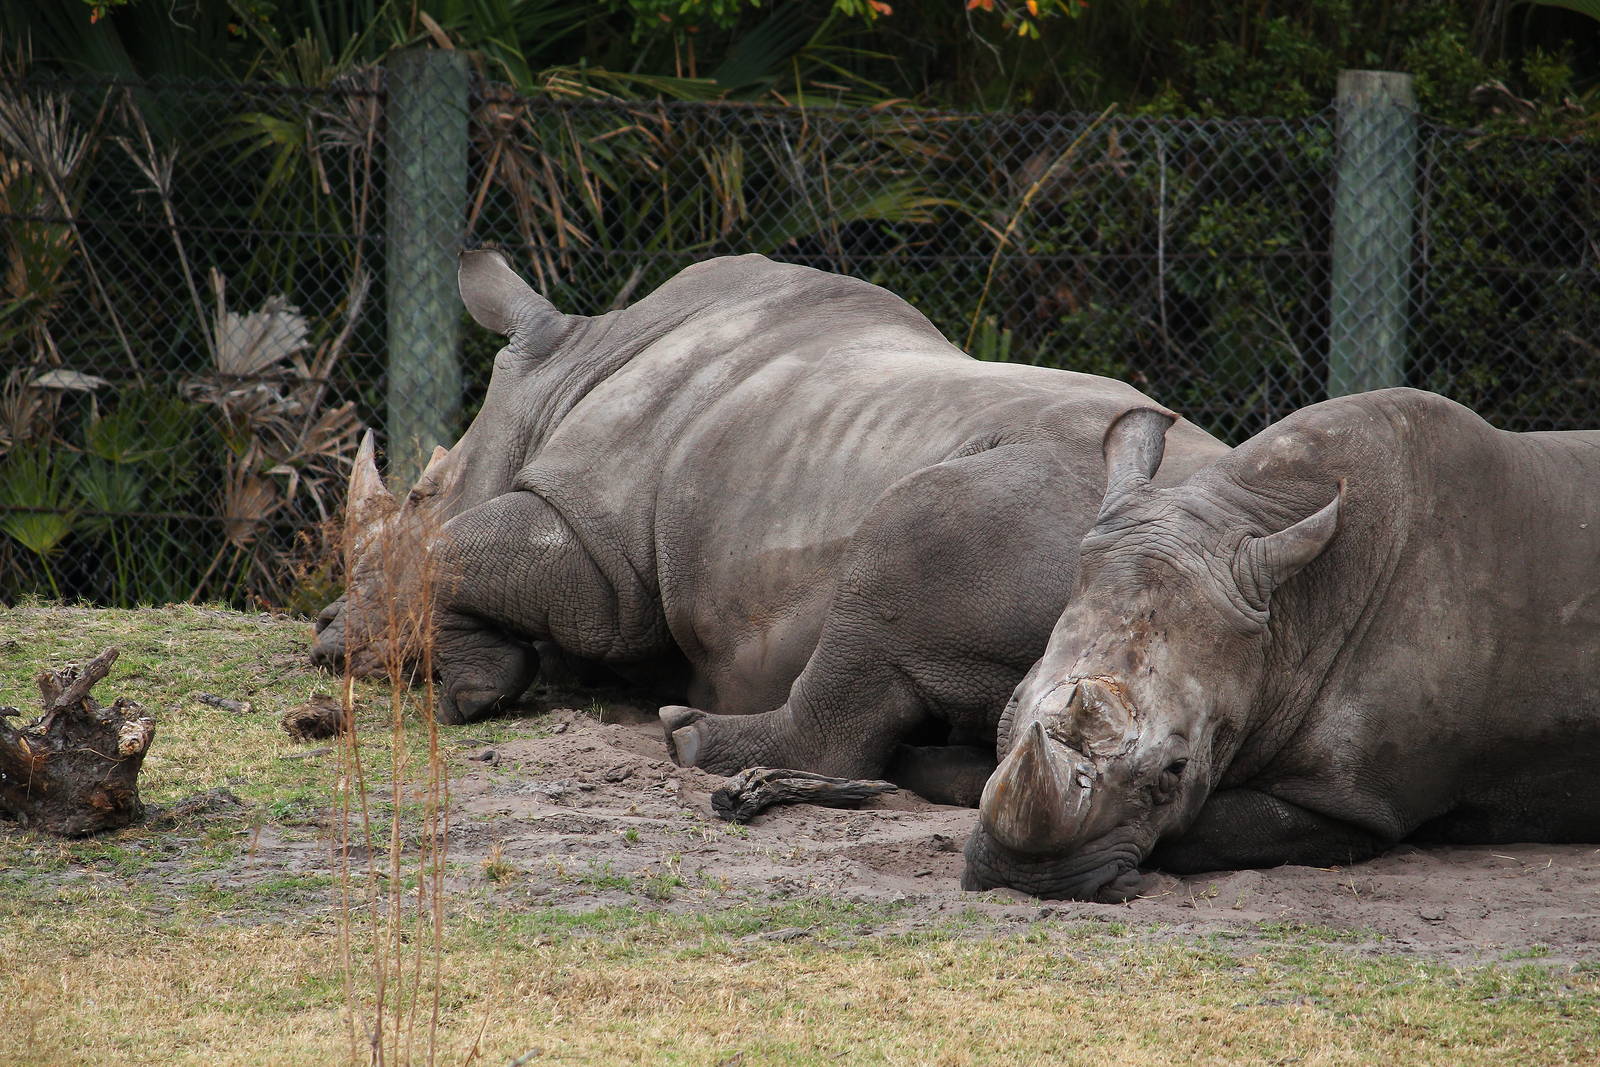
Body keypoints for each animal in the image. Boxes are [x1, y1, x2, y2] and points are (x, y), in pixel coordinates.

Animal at [312, 250, 1227, 791]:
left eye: (423, 495)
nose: (321, 638)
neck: (569, 367)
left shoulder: (595, 549)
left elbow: (461, 550)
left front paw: (466, 684)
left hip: (1073, 515)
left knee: (898, 548)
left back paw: (688, 742)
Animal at [963, 388, 1600, 901]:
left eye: (1176, 769)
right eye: (1008, 714)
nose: (1026, 879)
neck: (1288, 620)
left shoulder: (1358, 802)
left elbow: (1203, 829)